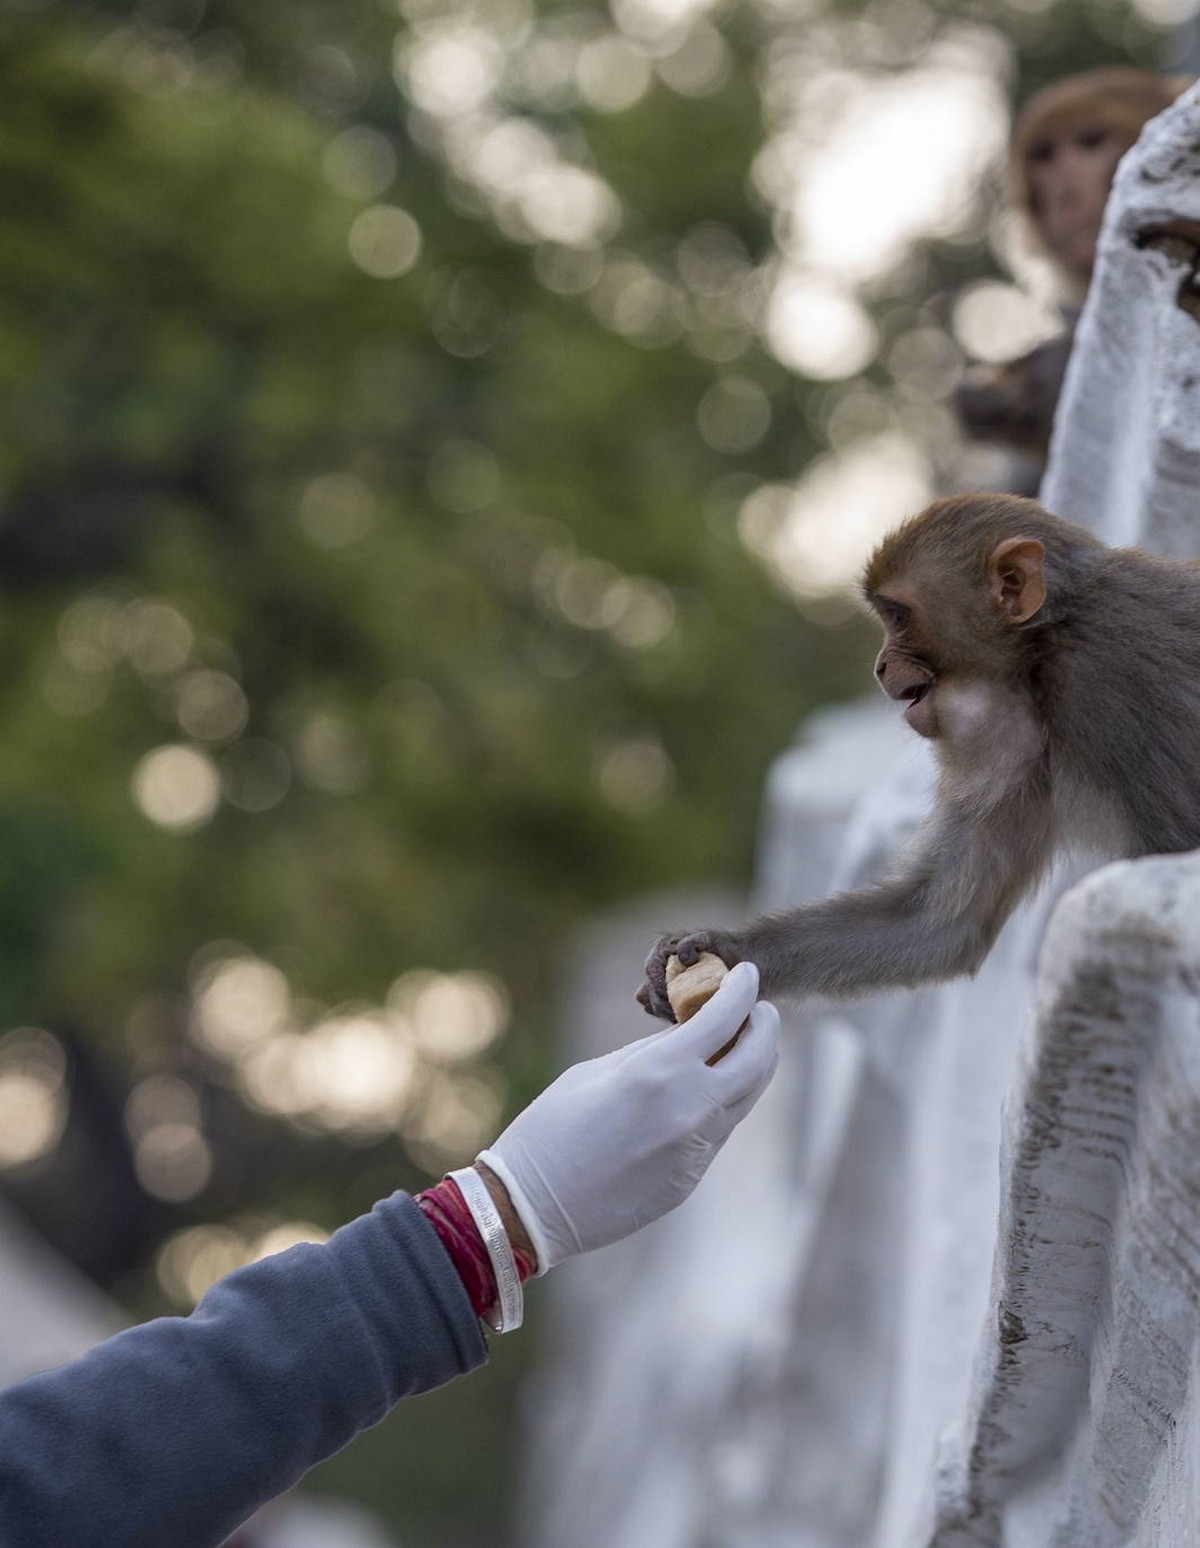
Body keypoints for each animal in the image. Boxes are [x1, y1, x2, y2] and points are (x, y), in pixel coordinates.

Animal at [644, 495, 1200, 1021]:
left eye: (896, 615)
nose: (879, 665)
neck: (1041, 649)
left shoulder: (1105, 678)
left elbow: (1174, 854)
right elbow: (939, 924)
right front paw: (723, 948)